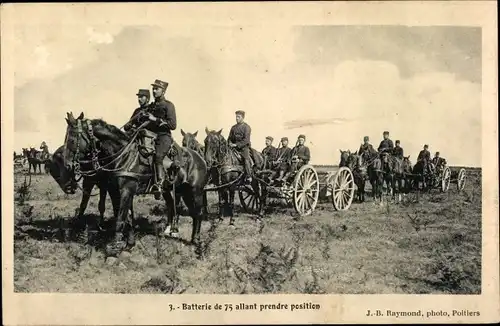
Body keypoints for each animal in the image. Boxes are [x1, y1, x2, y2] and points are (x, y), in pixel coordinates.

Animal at [63, 112, 209, 258]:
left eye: (71, 140)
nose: (67, 165)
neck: (124, 155)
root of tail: (200, 158)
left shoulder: (126, 191)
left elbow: (120, 218)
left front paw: (115, 247)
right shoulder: (115, 191)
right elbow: (126, 217)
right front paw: (129, 244)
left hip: (195, 191)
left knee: (198, 212)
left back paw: (197, 242)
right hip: (179, 190)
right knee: (179, 208)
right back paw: (177, 233)